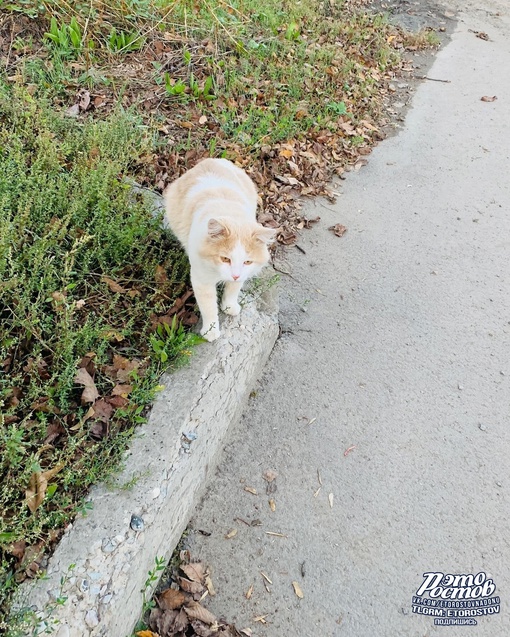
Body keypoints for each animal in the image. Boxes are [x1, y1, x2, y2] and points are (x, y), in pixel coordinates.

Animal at [164, 158, 274, 340]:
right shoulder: (201, 279)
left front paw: (229, 306)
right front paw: (211, 330)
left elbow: (233, 289)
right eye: (225, 259)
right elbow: (208, 307)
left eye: (247, 262)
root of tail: (210, 159)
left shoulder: (243, 274)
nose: (235, 275)